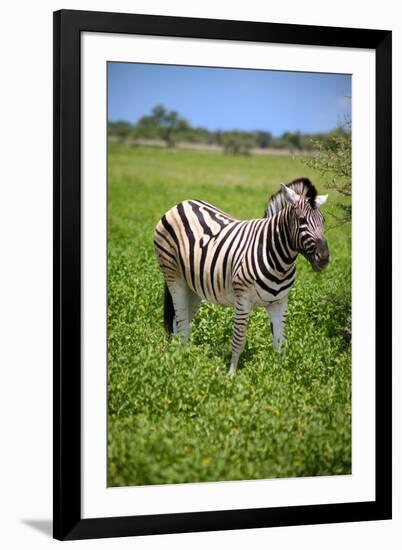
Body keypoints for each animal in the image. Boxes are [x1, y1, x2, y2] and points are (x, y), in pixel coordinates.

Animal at [152, 179, 328, 378]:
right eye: (301, 220)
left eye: (323, 221)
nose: (324, 258)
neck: (276, 256)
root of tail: (181, 203)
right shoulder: (243, 300)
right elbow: (238, 340)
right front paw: (231, 376)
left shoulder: (279, 302)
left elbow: (280, 344)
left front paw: (280, 376)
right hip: (174, 277)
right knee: (182, 323)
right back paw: (182, 362)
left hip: (194, 287)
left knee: (178, 323)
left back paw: (180, 356)